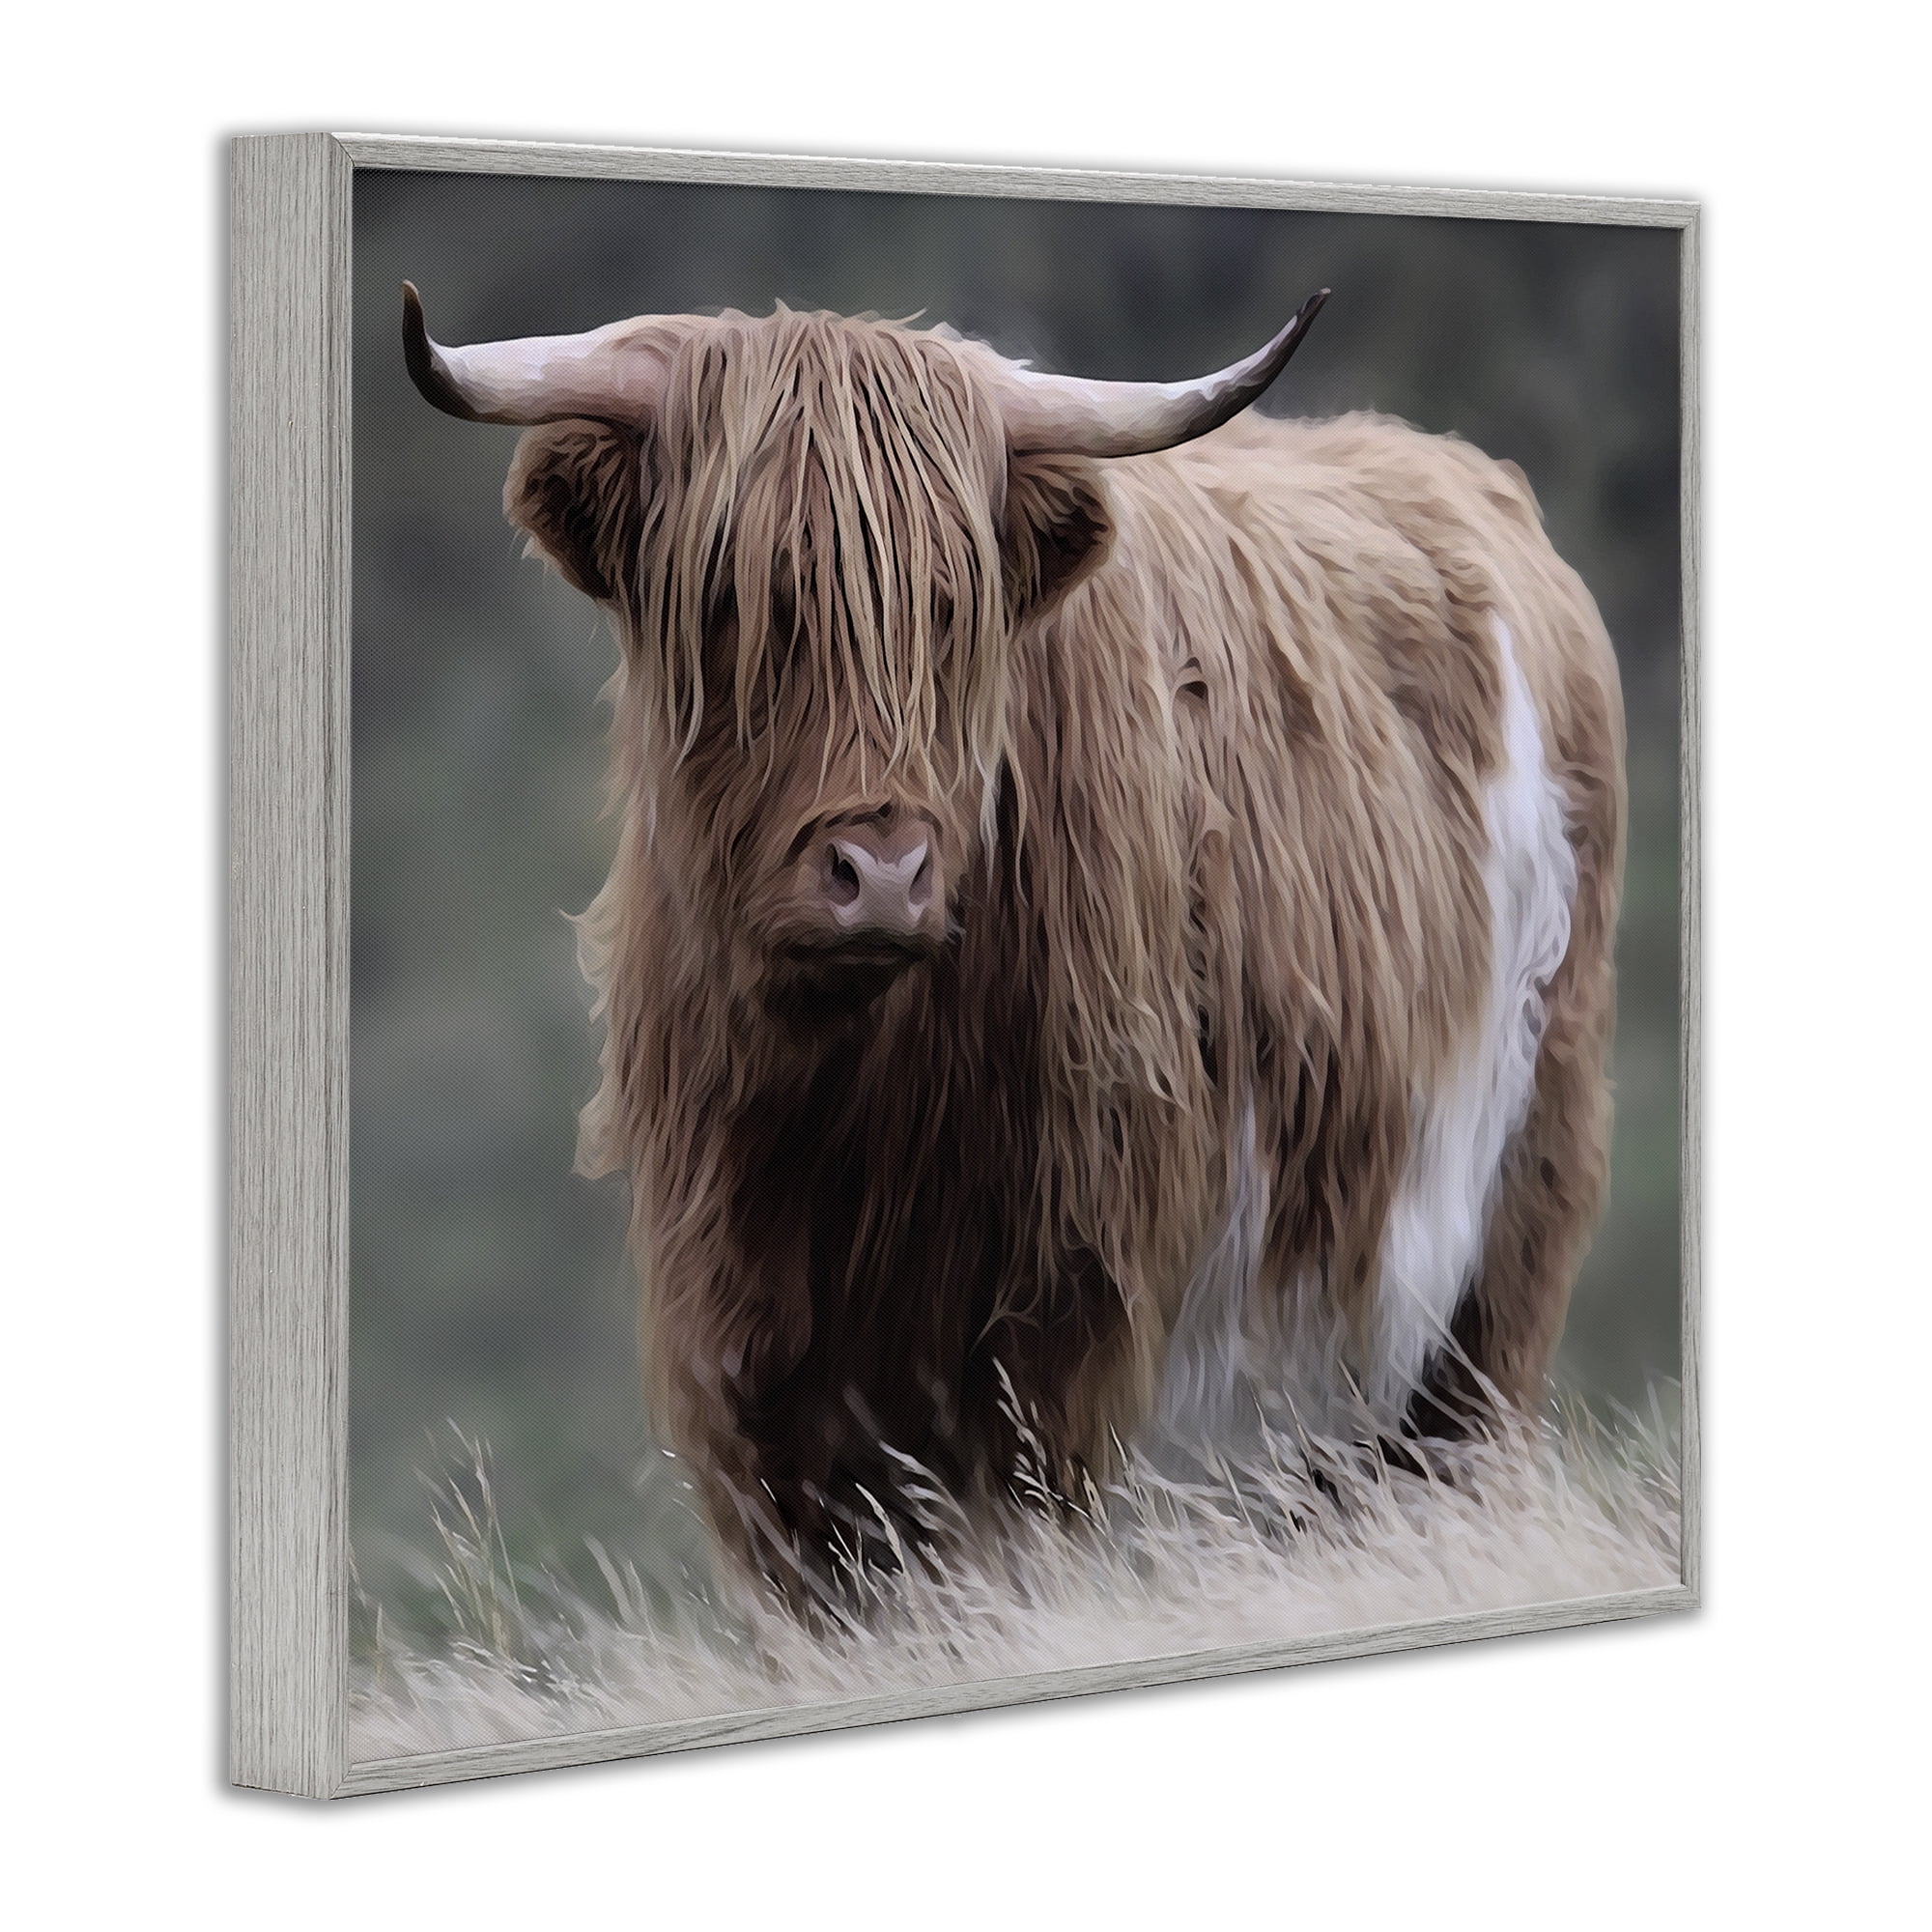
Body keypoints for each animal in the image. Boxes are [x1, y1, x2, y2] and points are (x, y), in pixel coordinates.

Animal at [402, 282, 1626, 1611]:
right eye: (734, 603)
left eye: (951, 607)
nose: (881, 871)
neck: (844, 1117)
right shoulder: (745, 1366)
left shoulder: (1060, 1333)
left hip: (1493, 1251)